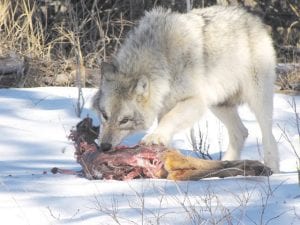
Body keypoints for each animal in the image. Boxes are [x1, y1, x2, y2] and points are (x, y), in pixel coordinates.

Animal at [92, 5, 280, 172]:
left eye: (124, 120)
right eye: (105, 115)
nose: (104, 146)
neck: (162, 59)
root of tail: (253, 18)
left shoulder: (194, 102)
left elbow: (170, 119)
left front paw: (153, 138)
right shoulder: (165, 107)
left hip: (257, 99)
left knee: (268, 135)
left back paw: (272, 168)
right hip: (218, 104)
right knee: (241, 132)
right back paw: (227, 164)